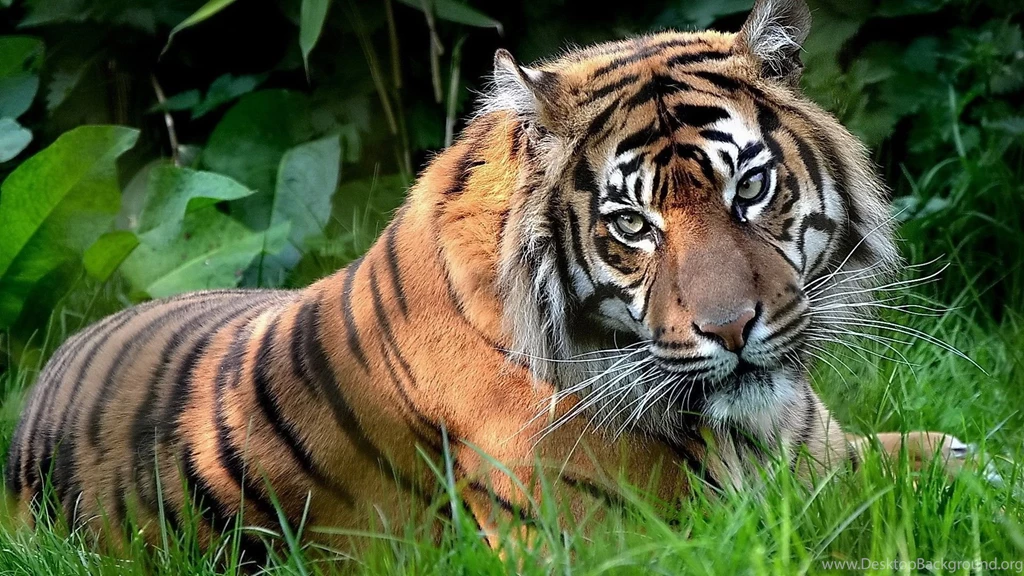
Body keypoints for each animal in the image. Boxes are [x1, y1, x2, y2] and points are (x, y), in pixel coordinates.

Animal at [5, 0, 976, 562]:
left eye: (751, 188)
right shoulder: (627, 540)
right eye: (633, 225)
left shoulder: (825, 456)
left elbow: (947, 458)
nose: (732, 330)